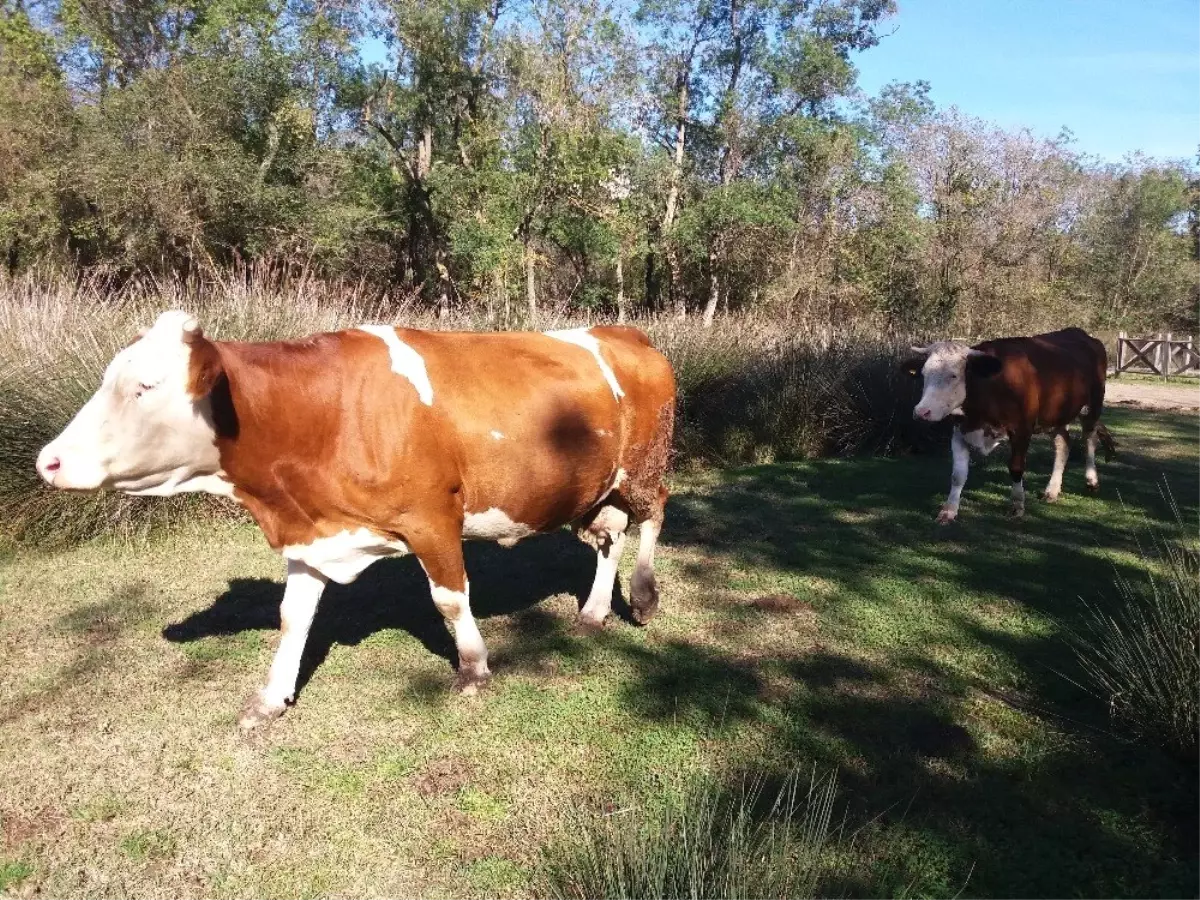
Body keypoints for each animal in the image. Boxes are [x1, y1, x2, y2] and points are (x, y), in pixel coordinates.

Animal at [35, 314, 676, 729]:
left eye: (145, 387)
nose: (49, 460)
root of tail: (624, 332)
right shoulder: (311, 534)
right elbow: (292, 617)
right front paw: (271, 697)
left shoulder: (431, 516)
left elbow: (449, 600)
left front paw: (473, 670)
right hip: (598, 487)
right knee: (609, 536)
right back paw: (592, 613)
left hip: (645, 466)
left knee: (654, 515)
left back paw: (643, 597)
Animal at [907, 328, 1113, 525]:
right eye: (924, 374)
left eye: (953, 375)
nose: (921, 411)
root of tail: (1084, 335)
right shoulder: (960, 431)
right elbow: (958, 475)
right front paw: (948, 511)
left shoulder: (1022, 430)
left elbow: (1016, 467)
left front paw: (1017, 506)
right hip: (1056, 416)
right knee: (1064, 444)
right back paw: (1052, 490)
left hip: (1092, 406)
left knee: (1089, 439)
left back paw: (1091, 480)